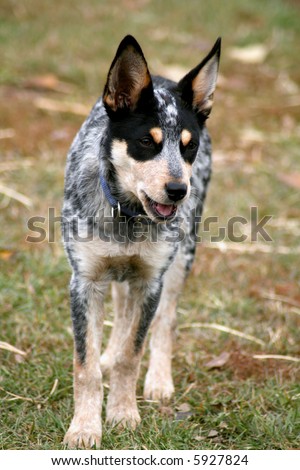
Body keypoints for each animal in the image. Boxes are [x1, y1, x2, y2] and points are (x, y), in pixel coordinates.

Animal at [61, 34, 220, 448]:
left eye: (189, 146)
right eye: (146, 142)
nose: (179, 190)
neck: (129, 216)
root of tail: (162, 75)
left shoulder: (150, 281)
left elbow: (132, 355)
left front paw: (122, 413)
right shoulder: (84, 281)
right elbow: (85, 366)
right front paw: (84, 428)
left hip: (181, 259)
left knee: (166, 320)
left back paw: (159, 380)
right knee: (120, 311)